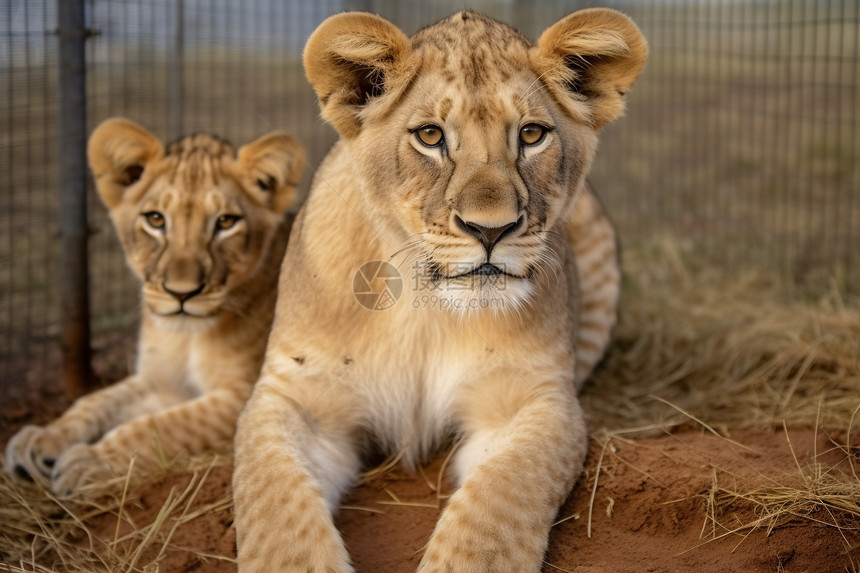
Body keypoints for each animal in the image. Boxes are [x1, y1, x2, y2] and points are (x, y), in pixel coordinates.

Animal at [3, 118, 304, 494]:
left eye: (225, 222)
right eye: (156, 219)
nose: (181, 293)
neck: (186, 336)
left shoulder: (247, 392)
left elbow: (162, 425)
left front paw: (89, 460)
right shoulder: (159, 380)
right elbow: (95, 401)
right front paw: (40, 439)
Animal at [232, 8, 648, 572]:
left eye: (532, 134)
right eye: (430, 135)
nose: (491, 229)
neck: (425, 307)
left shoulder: (534, 399)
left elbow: (496, 506)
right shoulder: (297, 395)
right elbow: (276, 513)